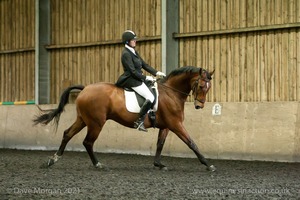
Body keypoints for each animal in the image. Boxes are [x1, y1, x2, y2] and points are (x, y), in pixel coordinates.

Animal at [33, 66, 216, 172]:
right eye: (201, 85)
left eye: (208, 87)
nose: (199, 106)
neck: (171, 93)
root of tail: (85, 89)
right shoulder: (176, 124)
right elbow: (191, 143)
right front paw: (208, 164)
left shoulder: (166, 126)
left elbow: (160, 144)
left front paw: (158, 164)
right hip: (96, 123)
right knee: (88, 142)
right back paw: (98, 165)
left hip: (83, 120)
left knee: (67, 134)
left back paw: (53, 160)